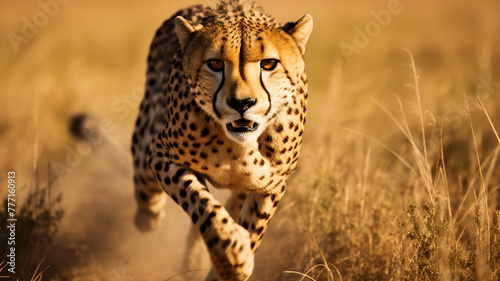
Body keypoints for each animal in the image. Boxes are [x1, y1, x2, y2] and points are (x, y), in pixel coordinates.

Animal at [133, 1, 312, 278]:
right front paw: (232, 253)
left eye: (269, 64)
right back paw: (149, 215)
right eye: (215, 64)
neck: (239, 145)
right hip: (147, 135)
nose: (242, 103)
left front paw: (229, 268)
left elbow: (254, 227)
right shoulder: (162, 151)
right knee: (143, 179)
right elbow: (201, 203)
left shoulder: (272, 184)